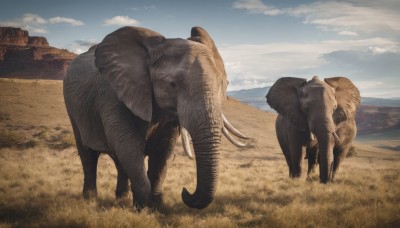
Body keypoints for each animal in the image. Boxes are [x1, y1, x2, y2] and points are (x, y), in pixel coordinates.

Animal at [63, 25, 250, 209]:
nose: (185, 191)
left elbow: (162, 151)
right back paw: (90, 200)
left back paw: (121, 199)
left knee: (119, 159)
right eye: (172, 85)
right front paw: (142, 209)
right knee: (89, 155)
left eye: (224, 84)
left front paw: (157, 207)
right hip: (72, 107)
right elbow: (128, 144)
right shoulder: (112, 94)